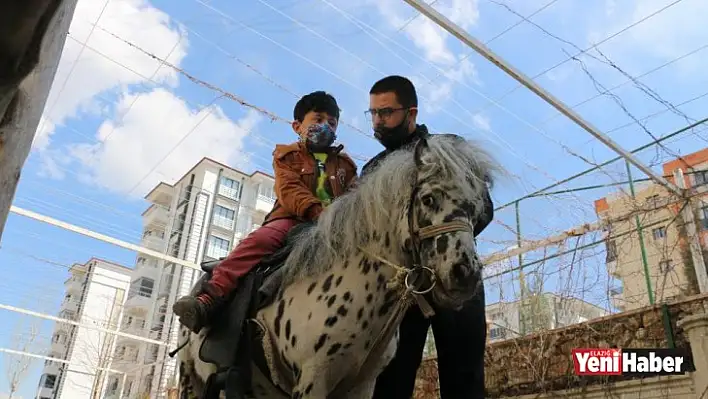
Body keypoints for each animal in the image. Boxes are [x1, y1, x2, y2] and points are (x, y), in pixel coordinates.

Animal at [177, 135, 500, 399]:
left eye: (477, 209)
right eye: (428, 198)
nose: (464, 275)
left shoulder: (362, 385)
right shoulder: (313, 380)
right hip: (191, 381)